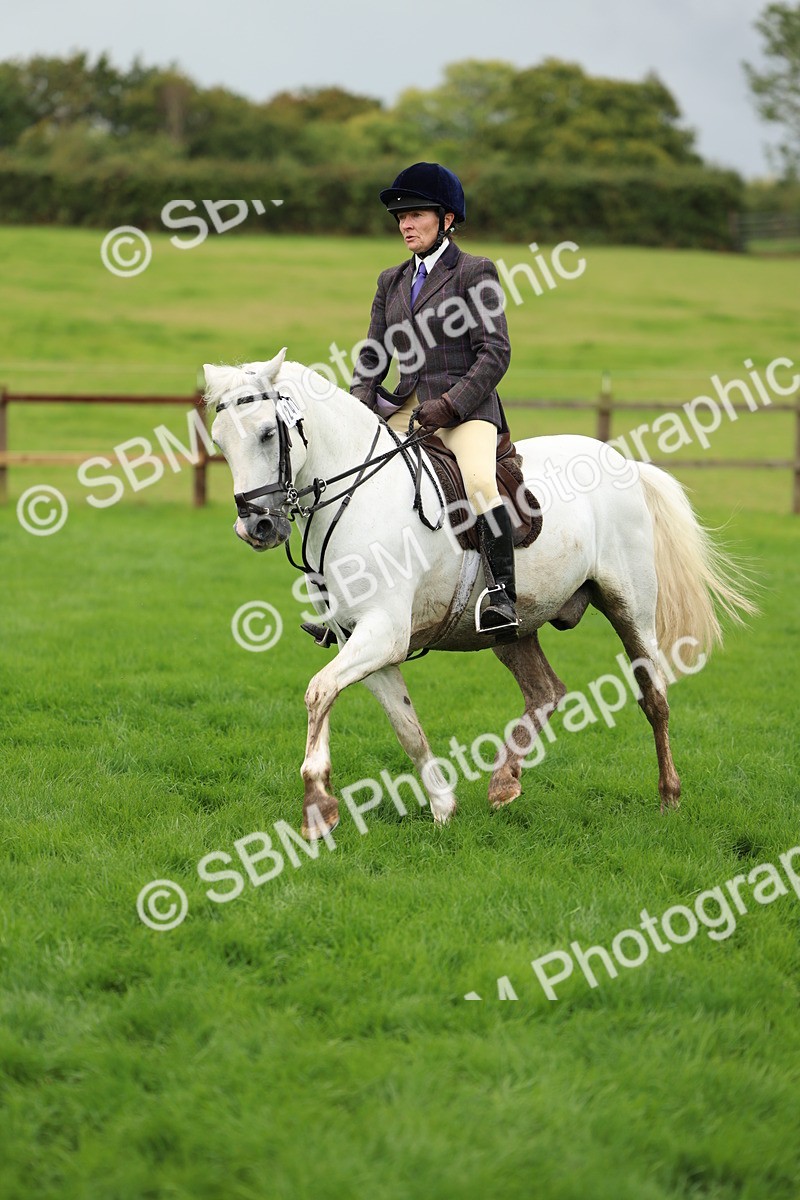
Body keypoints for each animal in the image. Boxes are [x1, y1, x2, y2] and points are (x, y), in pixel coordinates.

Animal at [204, 349, 755, 840]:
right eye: (220, 442)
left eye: (267, 433)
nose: (256, 527)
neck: (357, 495)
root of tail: (623, 462)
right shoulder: (361, 641)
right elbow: (405, 725)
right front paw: (443, 809)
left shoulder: (384, 633)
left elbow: (318, 692)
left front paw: (318, 806)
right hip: (513, 627)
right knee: (545, 692)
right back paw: (503, 782)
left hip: (630, 610)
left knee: (653, 696)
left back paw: (669, 798)